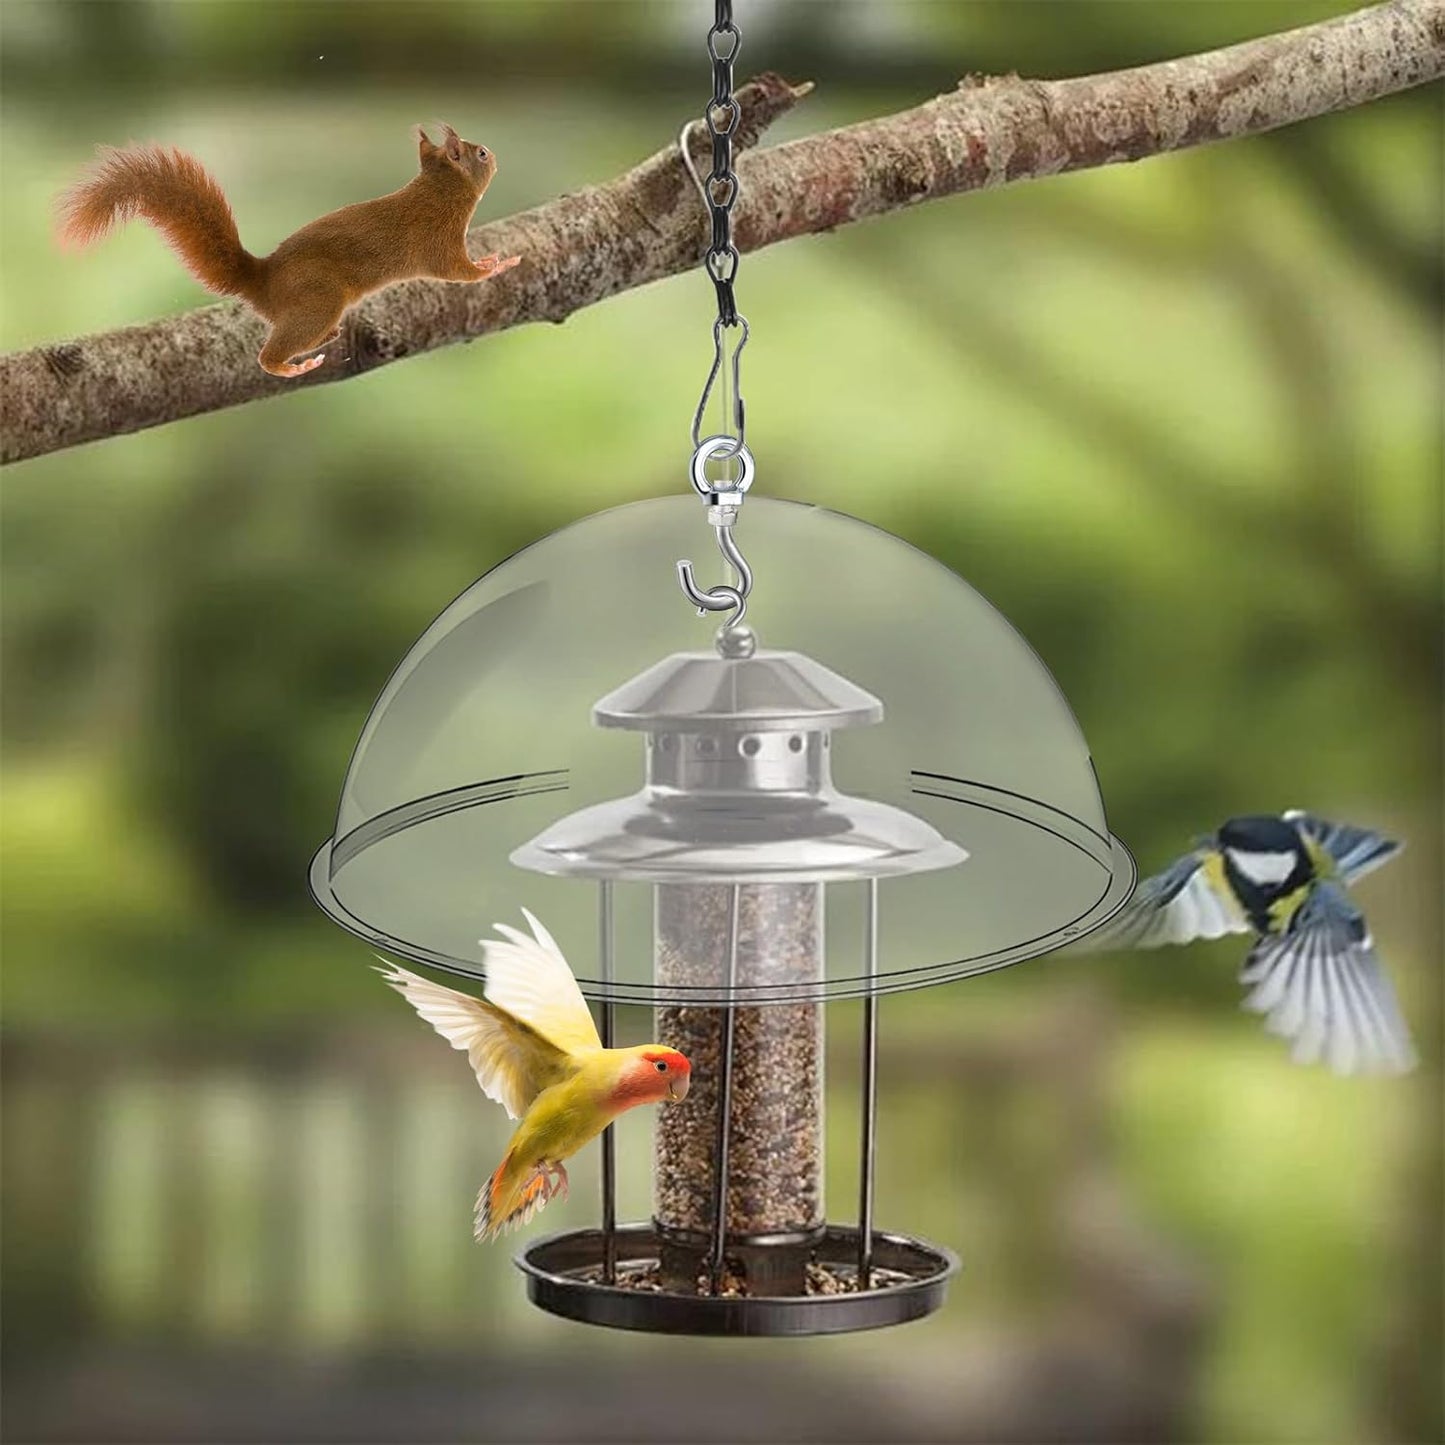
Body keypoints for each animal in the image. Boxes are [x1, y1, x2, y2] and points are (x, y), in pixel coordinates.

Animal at [57, 123, 521, 378]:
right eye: (480, 154)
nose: (496, 155)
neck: (436, 192)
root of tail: (261, 280)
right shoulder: (437, 241)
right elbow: (459, 271)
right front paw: (496, 264)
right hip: (318, 301)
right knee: (268, 354)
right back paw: (289, 364)